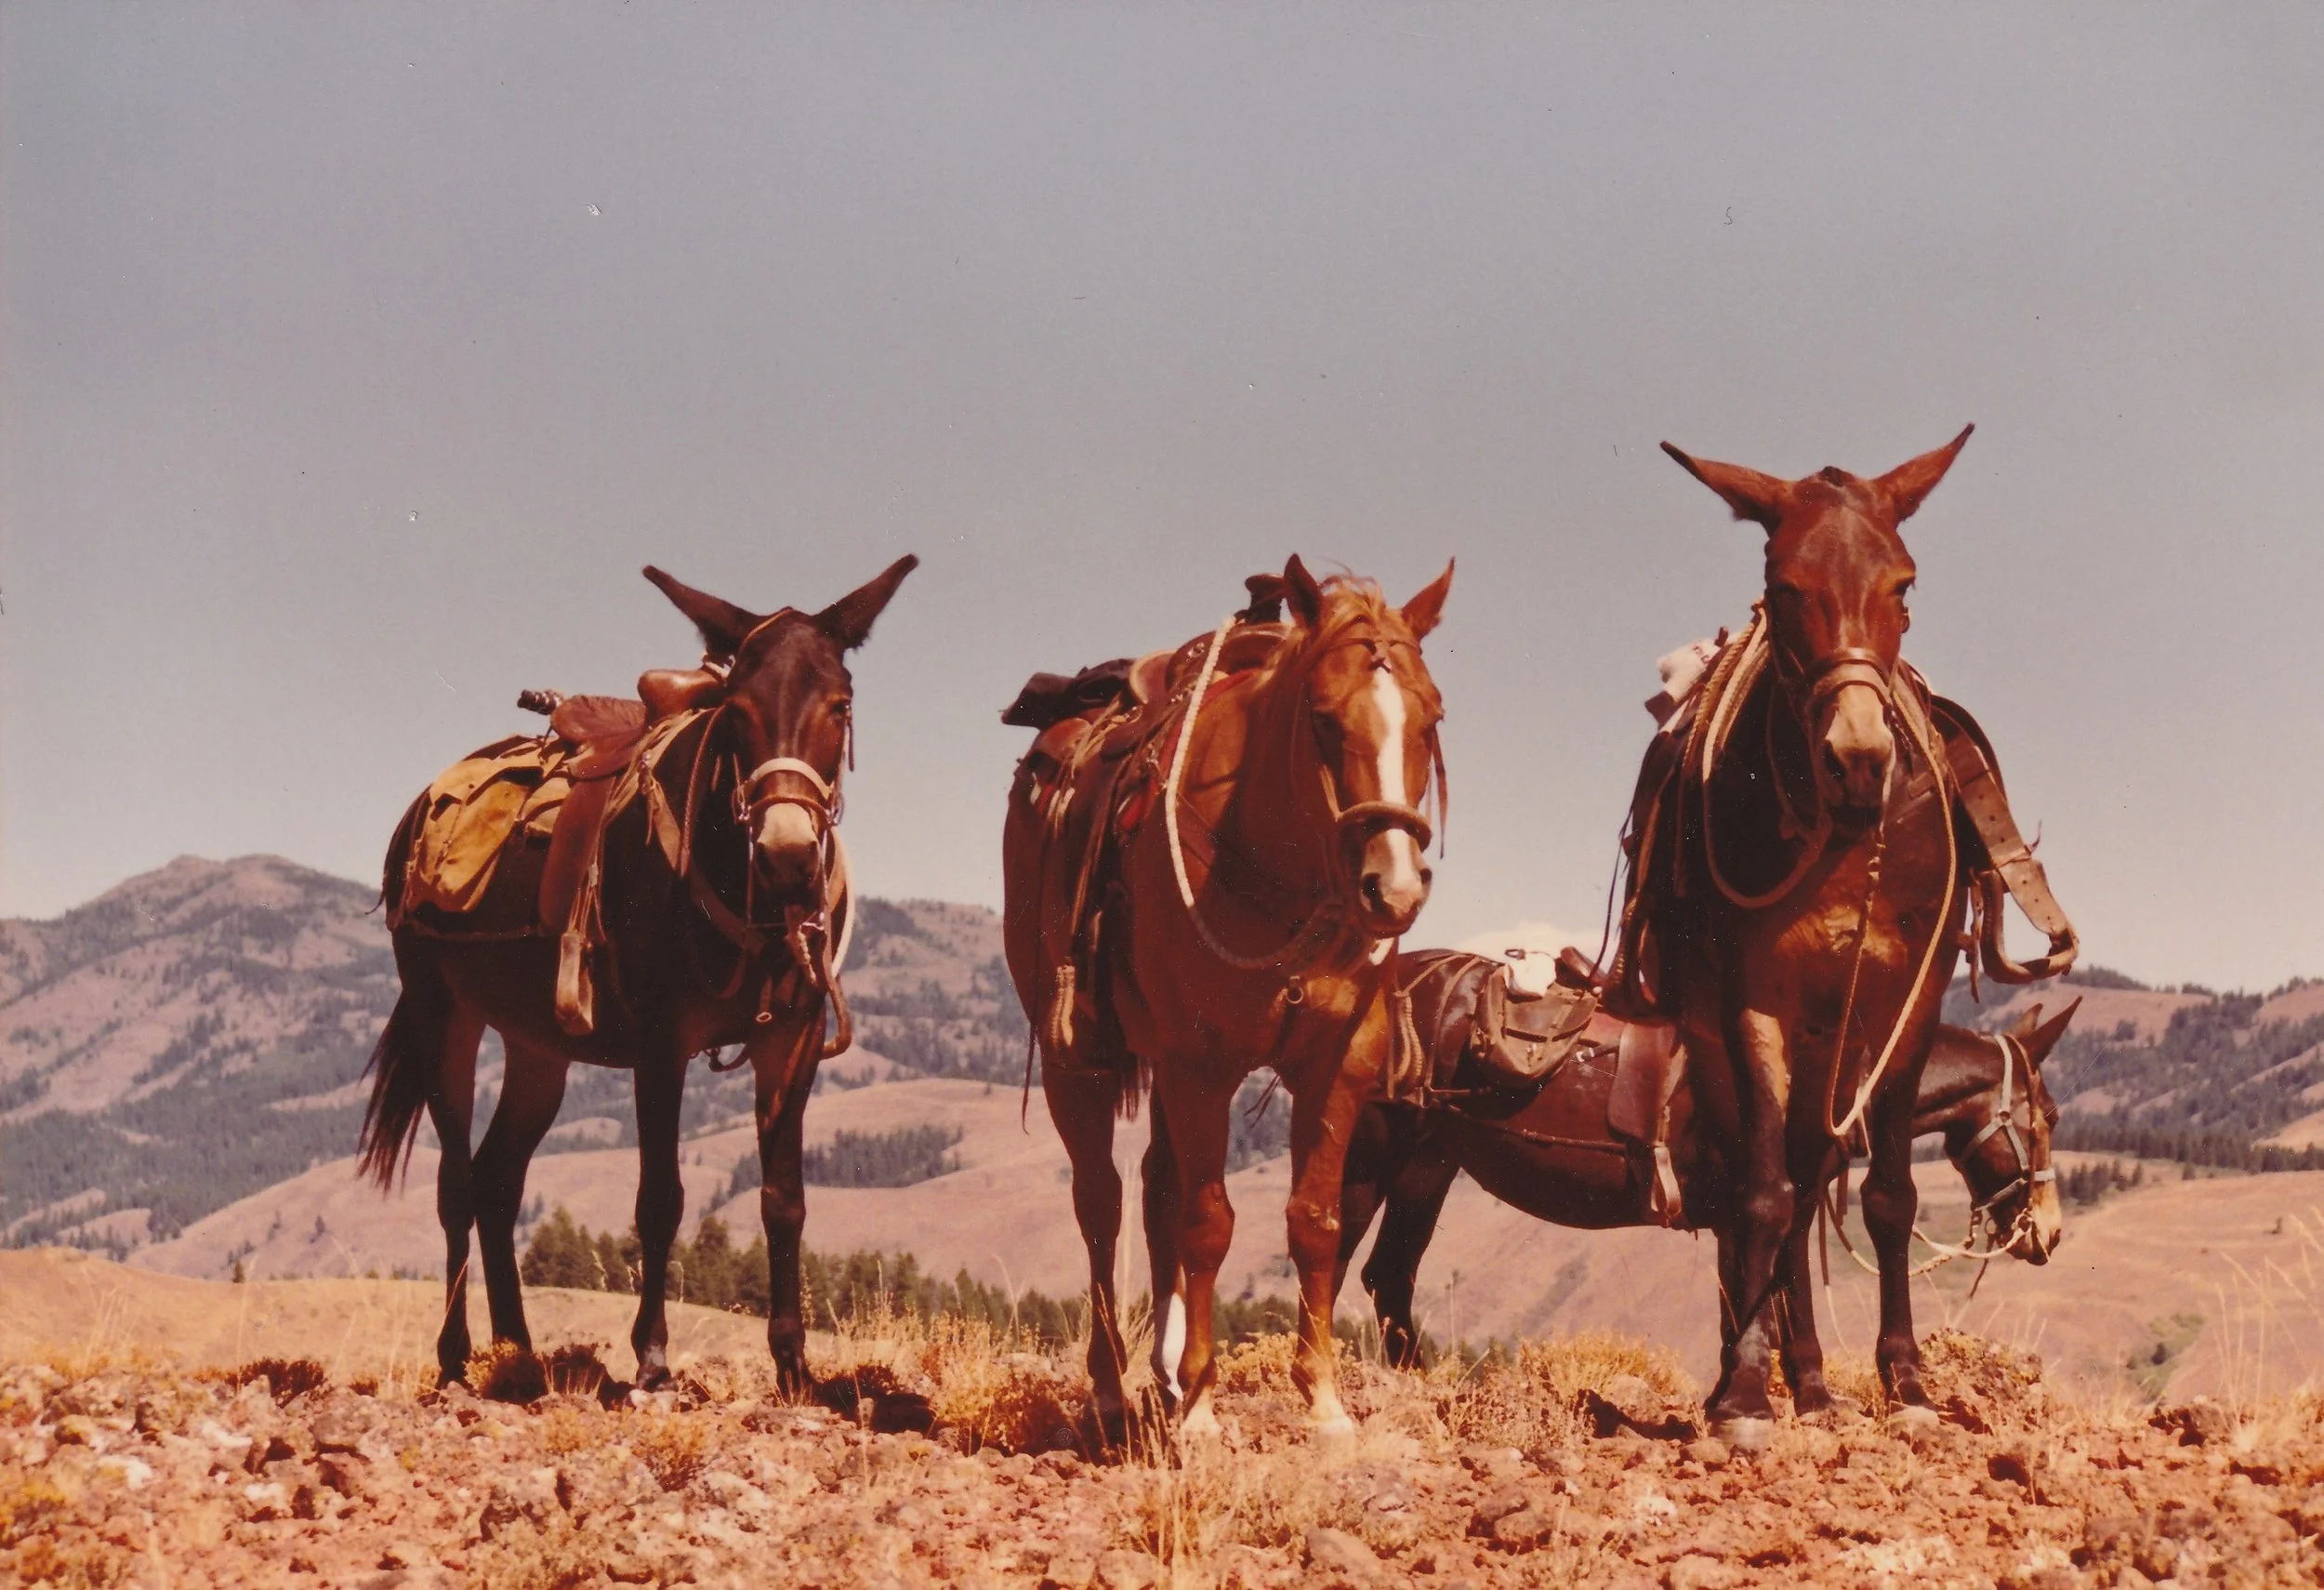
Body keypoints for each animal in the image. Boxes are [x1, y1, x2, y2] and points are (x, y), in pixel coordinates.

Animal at [359, 556, 916, 1391]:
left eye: (840, 705)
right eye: (736, 710)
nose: (787, 854)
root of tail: (419, 809)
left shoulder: (792, 1043)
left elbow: (784, 1199)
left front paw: (793, 1364)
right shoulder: (661, 1045)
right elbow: (661, 1198)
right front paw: (651, 1355)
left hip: (538, 1050)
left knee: (496, 1181)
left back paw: (518, 1351)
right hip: (441, 1014)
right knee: (456, 1183)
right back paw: (457, 1355)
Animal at [1002, 554, 1454, 1438]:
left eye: (1431, 717)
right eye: (1323, 719)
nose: (1392, 888)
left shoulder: (1338, 1063)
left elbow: (1314, 1224)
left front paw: (1322, 1400)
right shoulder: (1200, 1063)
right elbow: (1208, 1225)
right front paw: (1204, 1406)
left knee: (1155, 1188)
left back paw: (1161, 1371)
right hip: (1081, 1060)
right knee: (1102, 1203)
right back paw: (1111, 1386)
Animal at [1336, 946, 2075, 1380]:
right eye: (2049, 1116)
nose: (2049, 1231)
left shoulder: (1750, 1219)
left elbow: (1759, 1320)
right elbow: (1771, 1319)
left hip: (1427, 1166)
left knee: (1389, 1277)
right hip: (1368, 1159)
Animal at [1616, 427, 2015, 1442]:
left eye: (1904, 584)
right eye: (1782, 583)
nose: (1858, 760)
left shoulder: (1908, 997)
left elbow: (1886, 1195)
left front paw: (1905, 1382)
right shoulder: (1751, 998)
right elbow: (1763, 1192)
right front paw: (1743, 1398)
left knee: (1811, 1180)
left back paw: (1812, 1379)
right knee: (1765, 1188)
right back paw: (1757, 1373)